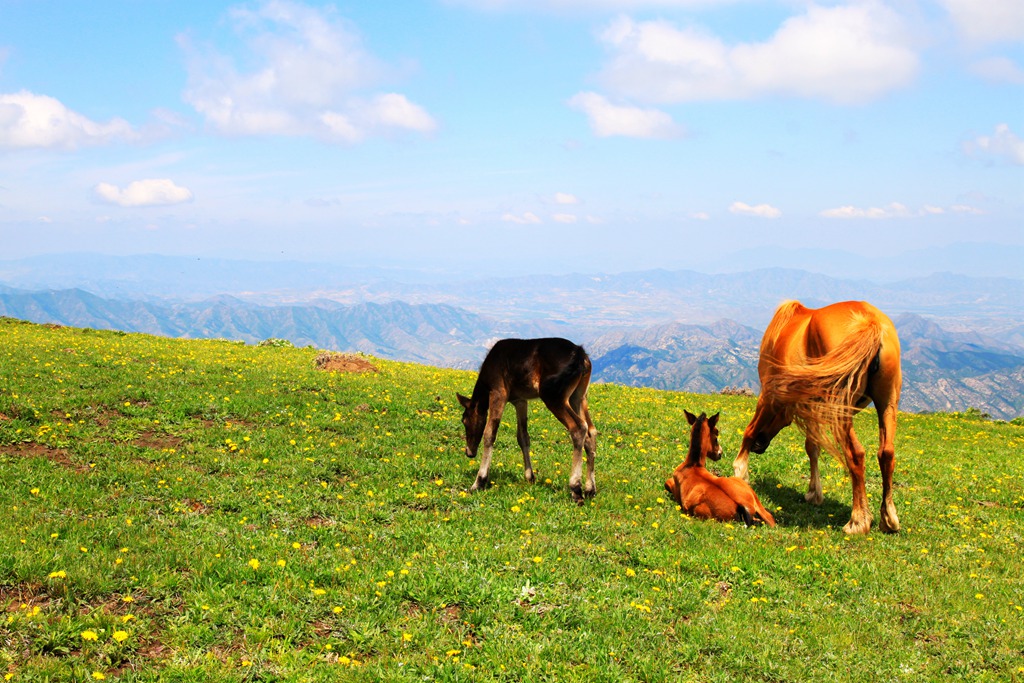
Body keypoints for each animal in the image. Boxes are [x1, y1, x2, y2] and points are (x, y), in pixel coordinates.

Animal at [454, 335, 593, 501]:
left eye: (464, 420)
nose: (469, 452)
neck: (485, 384)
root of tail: (581, 356)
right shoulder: (520, 400)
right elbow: (523, 437)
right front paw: (530, 477)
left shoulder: (498, 392)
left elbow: (489, 434)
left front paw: (479, 481)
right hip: (579, 396)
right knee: (591, 431)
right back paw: (590, 489)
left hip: (553, 394)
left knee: (579, 427)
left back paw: (576, 488)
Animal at [733, 301, 901, 536]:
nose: (759, 446)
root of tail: (870, 323)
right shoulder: (813, 408)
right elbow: (812, 447)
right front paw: (814, 492)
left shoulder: (769, 394)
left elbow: (749, 430)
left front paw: (740, 472)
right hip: (887, 403)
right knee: (886, 453)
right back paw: (889, 518)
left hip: (841, 409)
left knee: (856, 454)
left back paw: (858, 520)